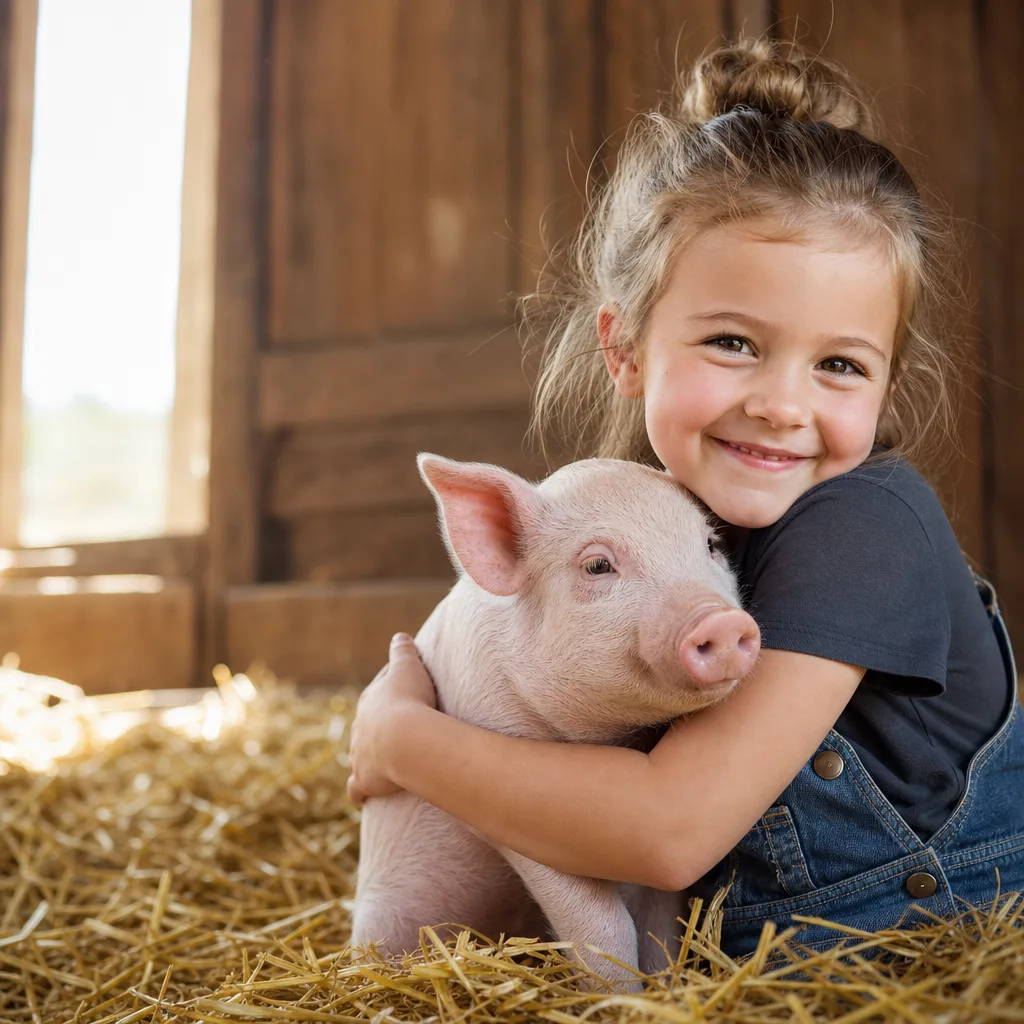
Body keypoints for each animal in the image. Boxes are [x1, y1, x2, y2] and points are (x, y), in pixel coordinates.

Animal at [350, 454, 760, 989]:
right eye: (598, 565)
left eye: (711, 546)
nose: (722, 621)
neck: (609, 738)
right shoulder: (508, 804)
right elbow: (604, 925)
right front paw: (619, 996)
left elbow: (660, 922)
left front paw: (664, 989)